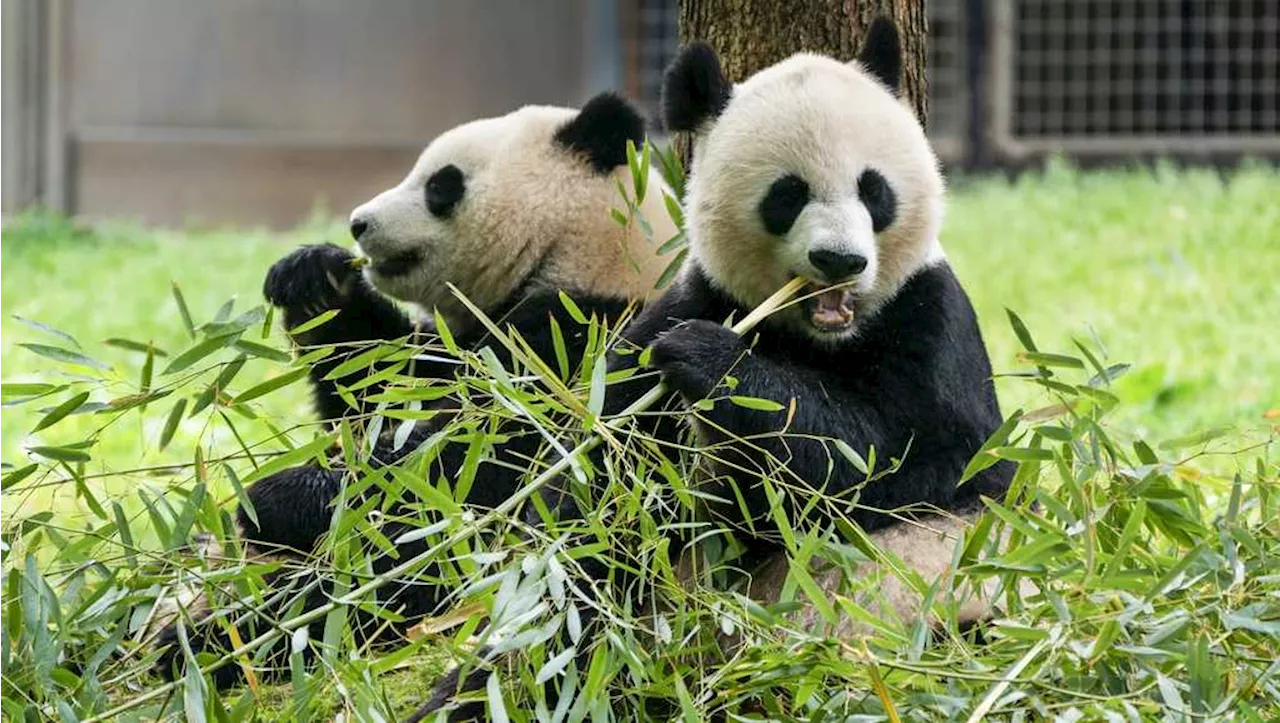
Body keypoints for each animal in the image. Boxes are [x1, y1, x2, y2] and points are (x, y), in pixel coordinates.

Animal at [156, 91, 680, 685]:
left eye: (440, 185)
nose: (358, 223)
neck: (586, 251)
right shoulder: (460, 340)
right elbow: (376, 389)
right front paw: (315, 279)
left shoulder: (582, 341)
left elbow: (470, 468)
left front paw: (274, 497)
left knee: (374, 588)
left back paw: (210, 643)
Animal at [419, 16, 1018, 721]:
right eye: (788, 195)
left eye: (874, 190)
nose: (840, 261)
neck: (814, 336)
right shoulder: (685, 304)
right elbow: (604, 496)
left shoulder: (932, 324)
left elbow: (895, 461)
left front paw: (710, 361)